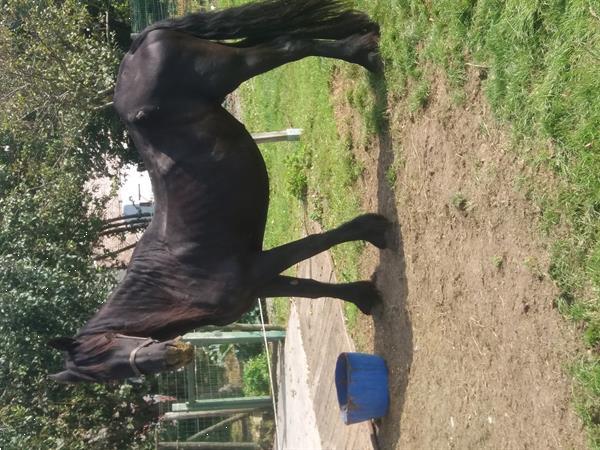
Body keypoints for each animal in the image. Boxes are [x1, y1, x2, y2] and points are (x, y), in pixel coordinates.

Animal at [49, 0, 392, 384]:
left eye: (106, 349)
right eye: (104, 374)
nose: (173, 356)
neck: (172, 281)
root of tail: (137, 45)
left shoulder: (258, 265)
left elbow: (316, 243)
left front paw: (375, 230)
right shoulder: (259, 284)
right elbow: (311, 290)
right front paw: (364, 296)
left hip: (229, 69)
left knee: (289, 45)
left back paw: (365, 55)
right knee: (277, 37)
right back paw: (360, 39)